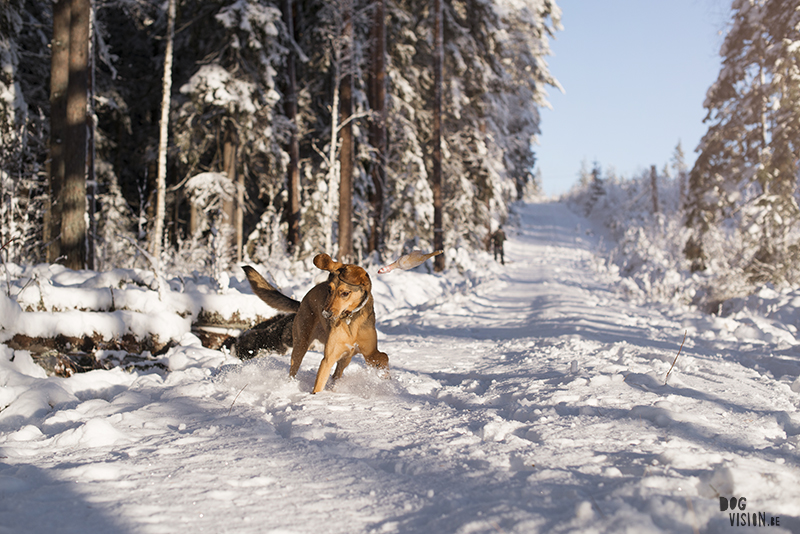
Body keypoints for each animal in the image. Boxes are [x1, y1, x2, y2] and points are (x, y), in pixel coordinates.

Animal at [239, 255, 390, 394]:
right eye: (329, 290)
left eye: (345, 293)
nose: (325, 314)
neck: (350, 319)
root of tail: (302, 302)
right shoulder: (328, 359)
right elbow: (318, 385)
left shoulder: (369, 352)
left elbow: (384, 356)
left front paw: (386, 376)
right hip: (300, 345)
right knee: (293, 370)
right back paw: (290, 386)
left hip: (344, 358)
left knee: (337, 374)